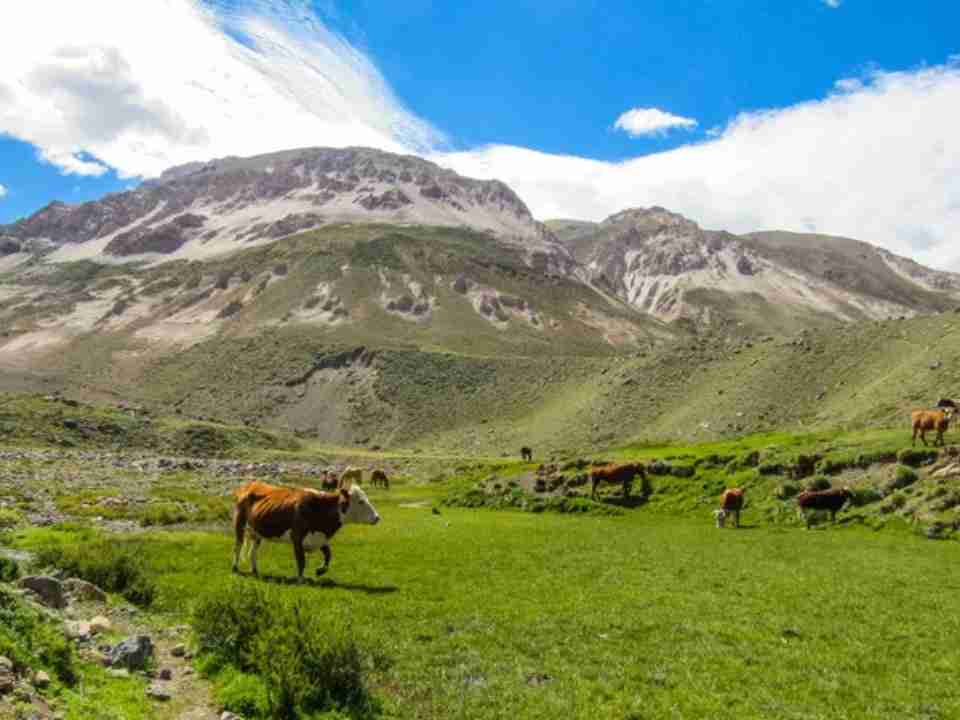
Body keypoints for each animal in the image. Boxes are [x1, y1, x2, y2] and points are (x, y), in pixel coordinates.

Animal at [232, 479, 380, 580]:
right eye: (361, 501)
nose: (377, 517)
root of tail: (250, 484)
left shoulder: (319, 537)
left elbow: (328, 554)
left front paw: (320, 570)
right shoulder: (297, 537)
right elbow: (301, 560)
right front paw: (301, 579)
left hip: (257, 531)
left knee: (252, 551)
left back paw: (255, 570)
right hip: (239, 523)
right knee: (238, 546)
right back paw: (235, 568)